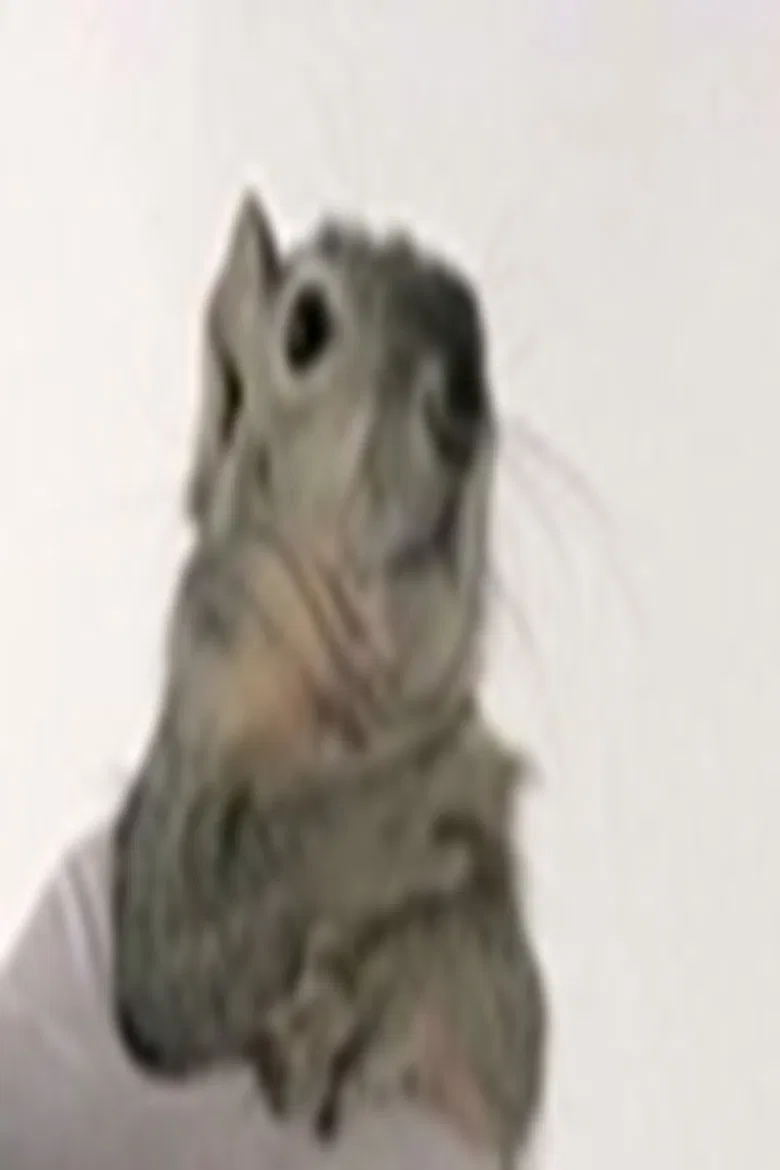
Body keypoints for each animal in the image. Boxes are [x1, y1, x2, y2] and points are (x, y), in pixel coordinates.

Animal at [110, 191, 547, 1169]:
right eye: (304, 328)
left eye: (479, 320)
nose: (464, 398)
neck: (357, 709)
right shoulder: (164, 847)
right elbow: (217, 897)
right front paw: (411, 797)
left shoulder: (500, 983)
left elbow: (473, 974)